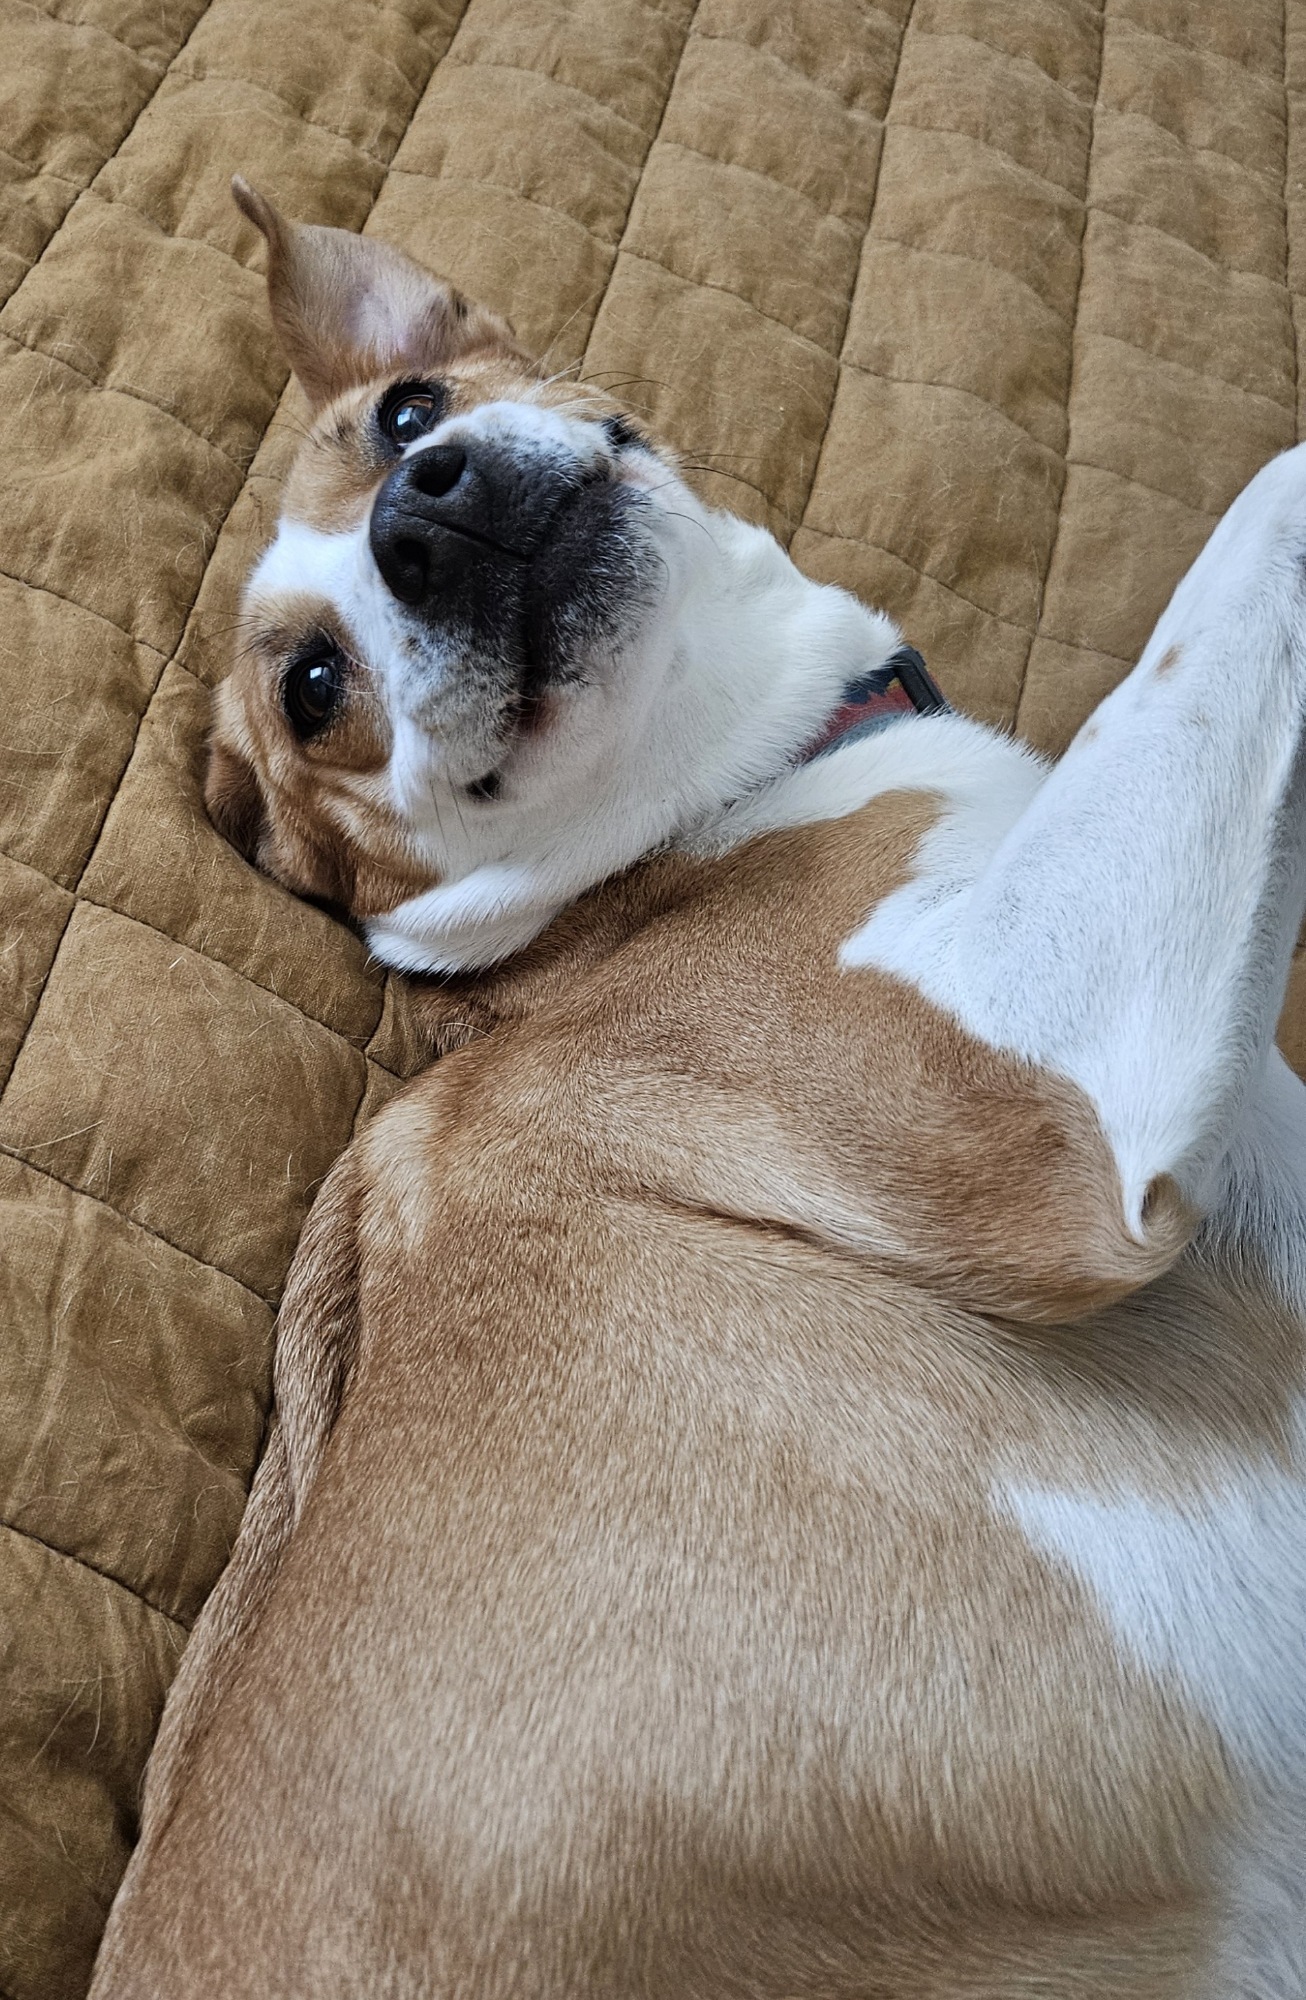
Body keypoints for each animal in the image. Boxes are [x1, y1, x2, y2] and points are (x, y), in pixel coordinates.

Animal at [90, 180, 1306, 1997]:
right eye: (315, 692)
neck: (703, 814)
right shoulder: (1050, 1102)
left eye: (406, 415)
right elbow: (1249, 530)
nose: (424, 515)